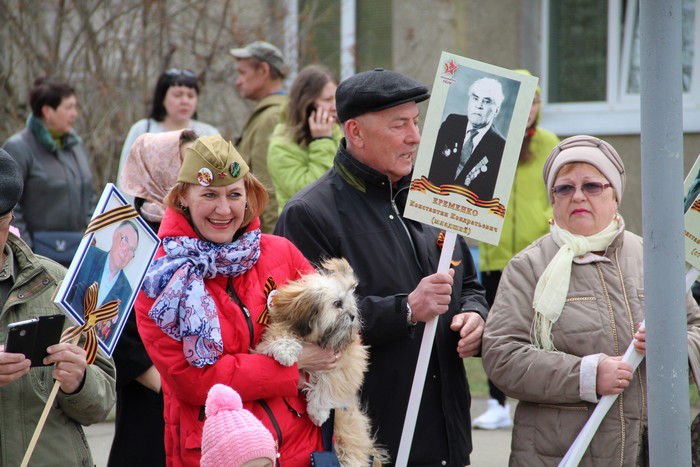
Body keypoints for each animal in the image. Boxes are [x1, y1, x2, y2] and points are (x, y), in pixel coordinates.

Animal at [255, 257, 386, 466]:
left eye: (351, 305)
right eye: (338, 303)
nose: (352, 316)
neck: (316, 338)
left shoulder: (347, 361)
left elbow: (331, 382)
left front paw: (318, 411)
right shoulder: (282, 326)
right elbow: (279, 336)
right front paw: (285, 351)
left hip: (348, 427)